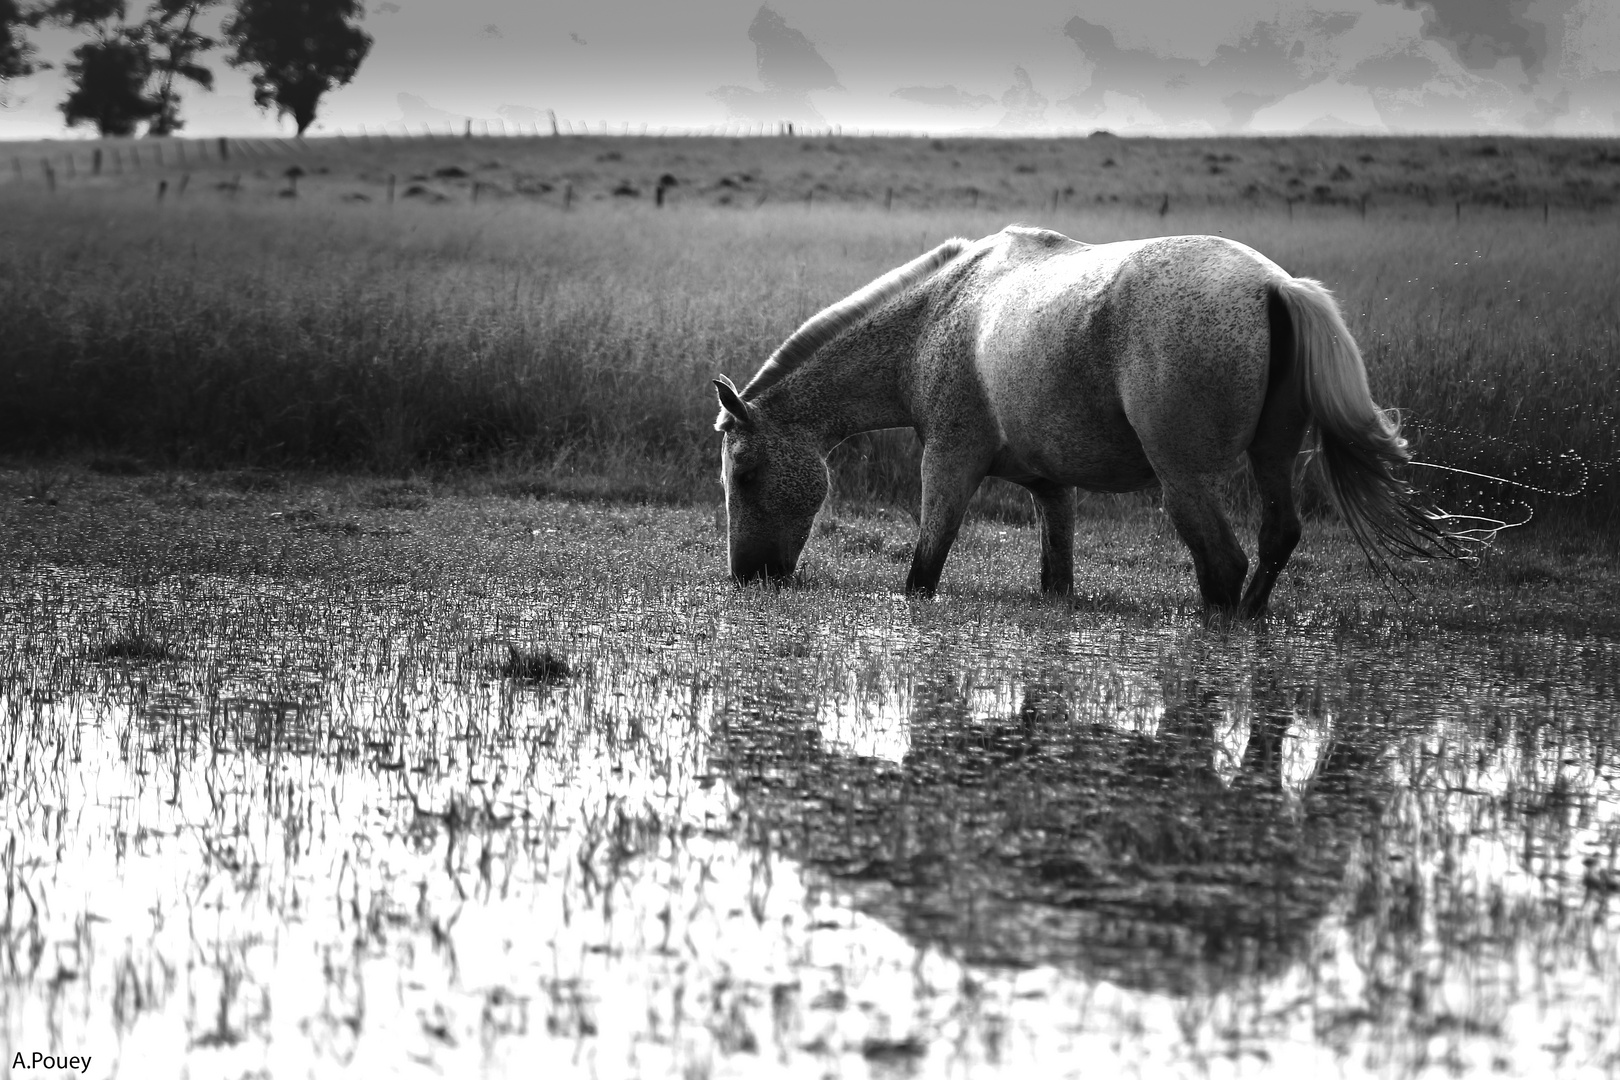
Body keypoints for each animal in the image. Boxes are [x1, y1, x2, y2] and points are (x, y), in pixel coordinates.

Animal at [712, 228, 1458, 615]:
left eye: (744, 473)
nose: (748, 575)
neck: (940, 311)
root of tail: (1276, 286)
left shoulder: (948, 463)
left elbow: (922, 574)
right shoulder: (1052, 491)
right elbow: (1057, 579)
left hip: (1183, 481)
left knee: (1223, 564)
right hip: (1271, 460)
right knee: (1276, 541)